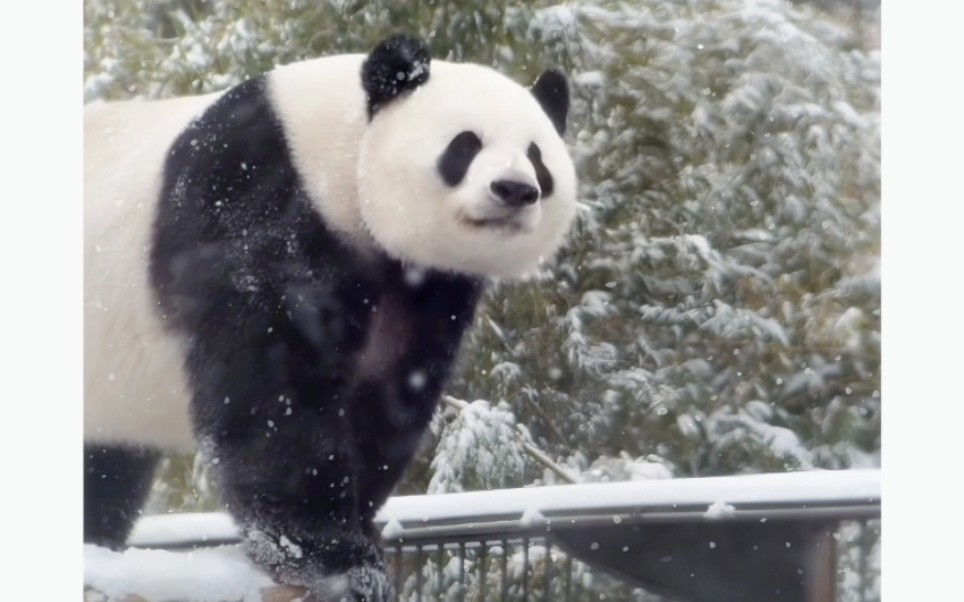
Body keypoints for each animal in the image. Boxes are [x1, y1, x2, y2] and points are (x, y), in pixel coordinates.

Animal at [84, 35, 572, 596]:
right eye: (465, 144)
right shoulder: (253, 200)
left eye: (537, 157)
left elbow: (388, 394)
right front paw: (330, 557)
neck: (339, 153)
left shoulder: (427, 287)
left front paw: (360, 533)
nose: (514, 189)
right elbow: (274, 389)